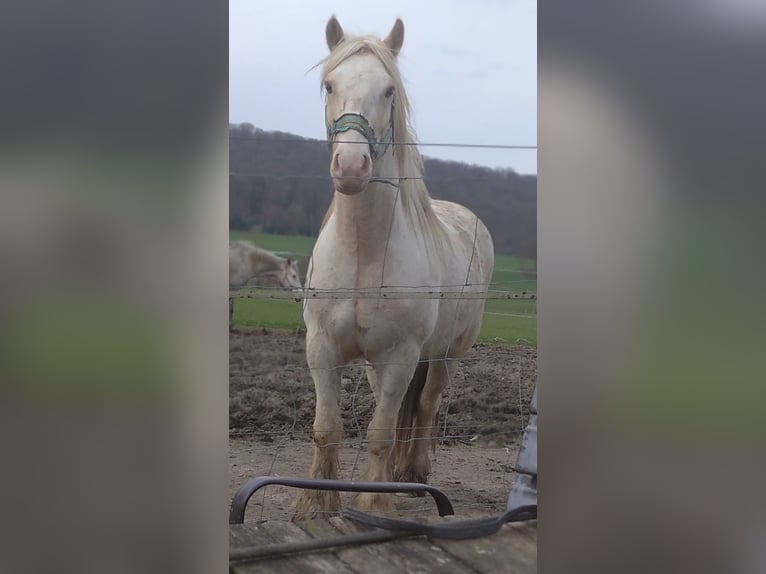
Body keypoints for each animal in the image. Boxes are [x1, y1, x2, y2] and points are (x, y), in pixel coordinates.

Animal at [294, 14, 498, 520]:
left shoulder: (402, 355)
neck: (365, 252)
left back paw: (413, 472)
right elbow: (327, 428)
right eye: (329, 84)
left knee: (425, 405)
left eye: (389, 90)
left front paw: (374, 502)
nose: (351, 166)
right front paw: (315, 502)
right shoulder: (322, 349)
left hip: (445, 355)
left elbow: (380, 433)